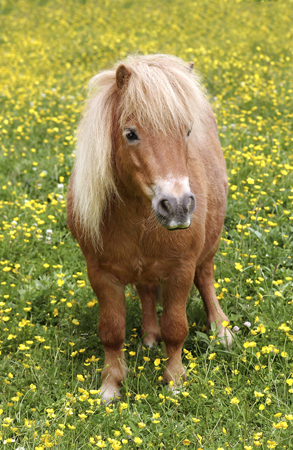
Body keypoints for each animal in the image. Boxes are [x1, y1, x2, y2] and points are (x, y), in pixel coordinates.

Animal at [66, 54, 230, 402]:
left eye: (187, 131)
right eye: (130, 134)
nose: (177, 206)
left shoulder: (181, 270)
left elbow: (176, 328)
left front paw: (175, 382)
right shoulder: (101, 274)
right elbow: (111, 331)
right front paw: (110, 386)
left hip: (209, 246)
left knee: (206, 278)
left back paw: (221, 331)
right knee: (145, 289)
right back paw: (150, 335)